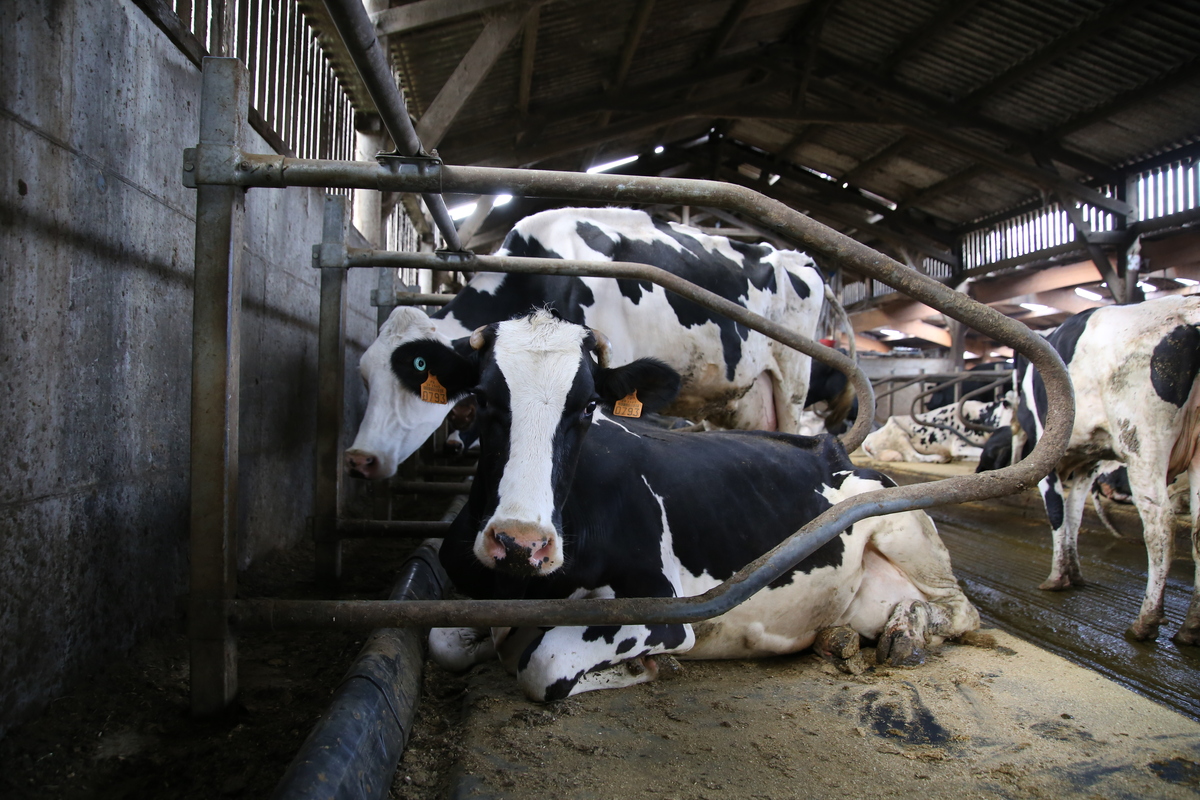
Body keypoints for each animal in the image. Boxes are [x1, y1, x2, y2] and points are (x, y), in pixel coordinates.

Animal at [417, 311, 979, 700]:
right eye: (481, 398)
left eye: (589, 405)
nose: (520, 543)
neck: (521, 588)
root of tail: (829, 446)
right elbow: (441, 642)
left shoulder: (661, 606)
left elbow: (543, 664)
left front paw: (644, 667)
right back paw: (837, 638)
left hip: (902, 521)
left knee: (960, 610)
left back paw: (907, 631)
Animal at [859, 393, 1017, 462]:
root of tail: (867, 440)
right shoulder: (958, 446)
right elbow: (978, 451)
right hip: (899, 434)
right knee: (913, 456)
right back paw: (938, 458)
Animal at [1017, 297, 1200, 647]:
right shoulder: (1088, 464)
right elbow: (1075, 515)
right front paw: (1074, 574)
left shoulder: (1044, 456)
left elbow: (1058, 512)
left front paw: (1057, 578)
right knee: (1198, 530)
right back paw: (1190, 628)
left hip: (1143, 440)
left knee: (1160, 524)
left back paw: (1146, 621)